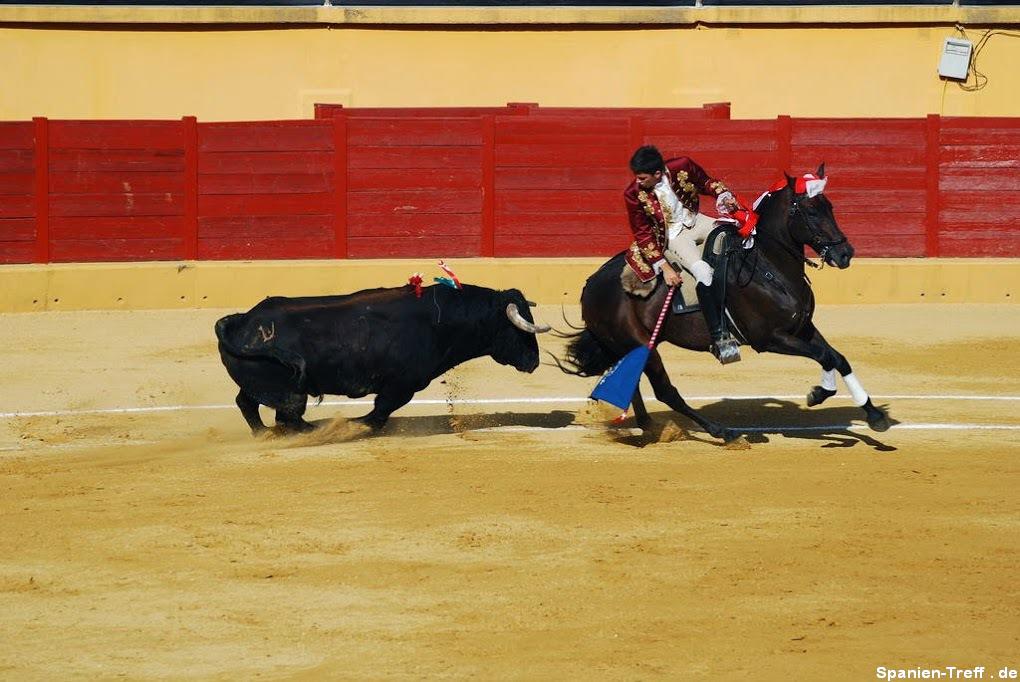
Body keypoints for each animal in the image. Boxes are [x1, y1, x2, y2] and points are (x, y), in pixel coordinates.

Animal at [216, 283, 550, 434]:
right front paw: (356, 425)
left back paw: (267, 434)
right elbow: (380, 412)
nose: (533, 361)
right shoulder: (402, 385)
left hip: (263, 386)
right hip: (290, 393)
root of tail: (242, 320)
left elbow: (380, 412)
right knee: (286, 413)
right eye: (519, 331)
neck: (440, 320)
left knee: (249, 404)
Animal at [563, 167, 889, 438]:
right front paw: (818, 394)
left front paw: (873, 415)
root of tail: (590, 284)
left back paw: (649, 426)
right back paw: (722, 431)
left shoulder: (802, 327)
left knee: (633, 384)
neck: (768, 264)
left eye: (829, 206)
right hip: (639, 343)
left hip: (630, 345)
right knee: (665, 390)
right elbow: (826, 356)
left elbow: (837, 357)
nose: (845, 253)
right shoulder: (770, 338)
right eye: (810, 211)